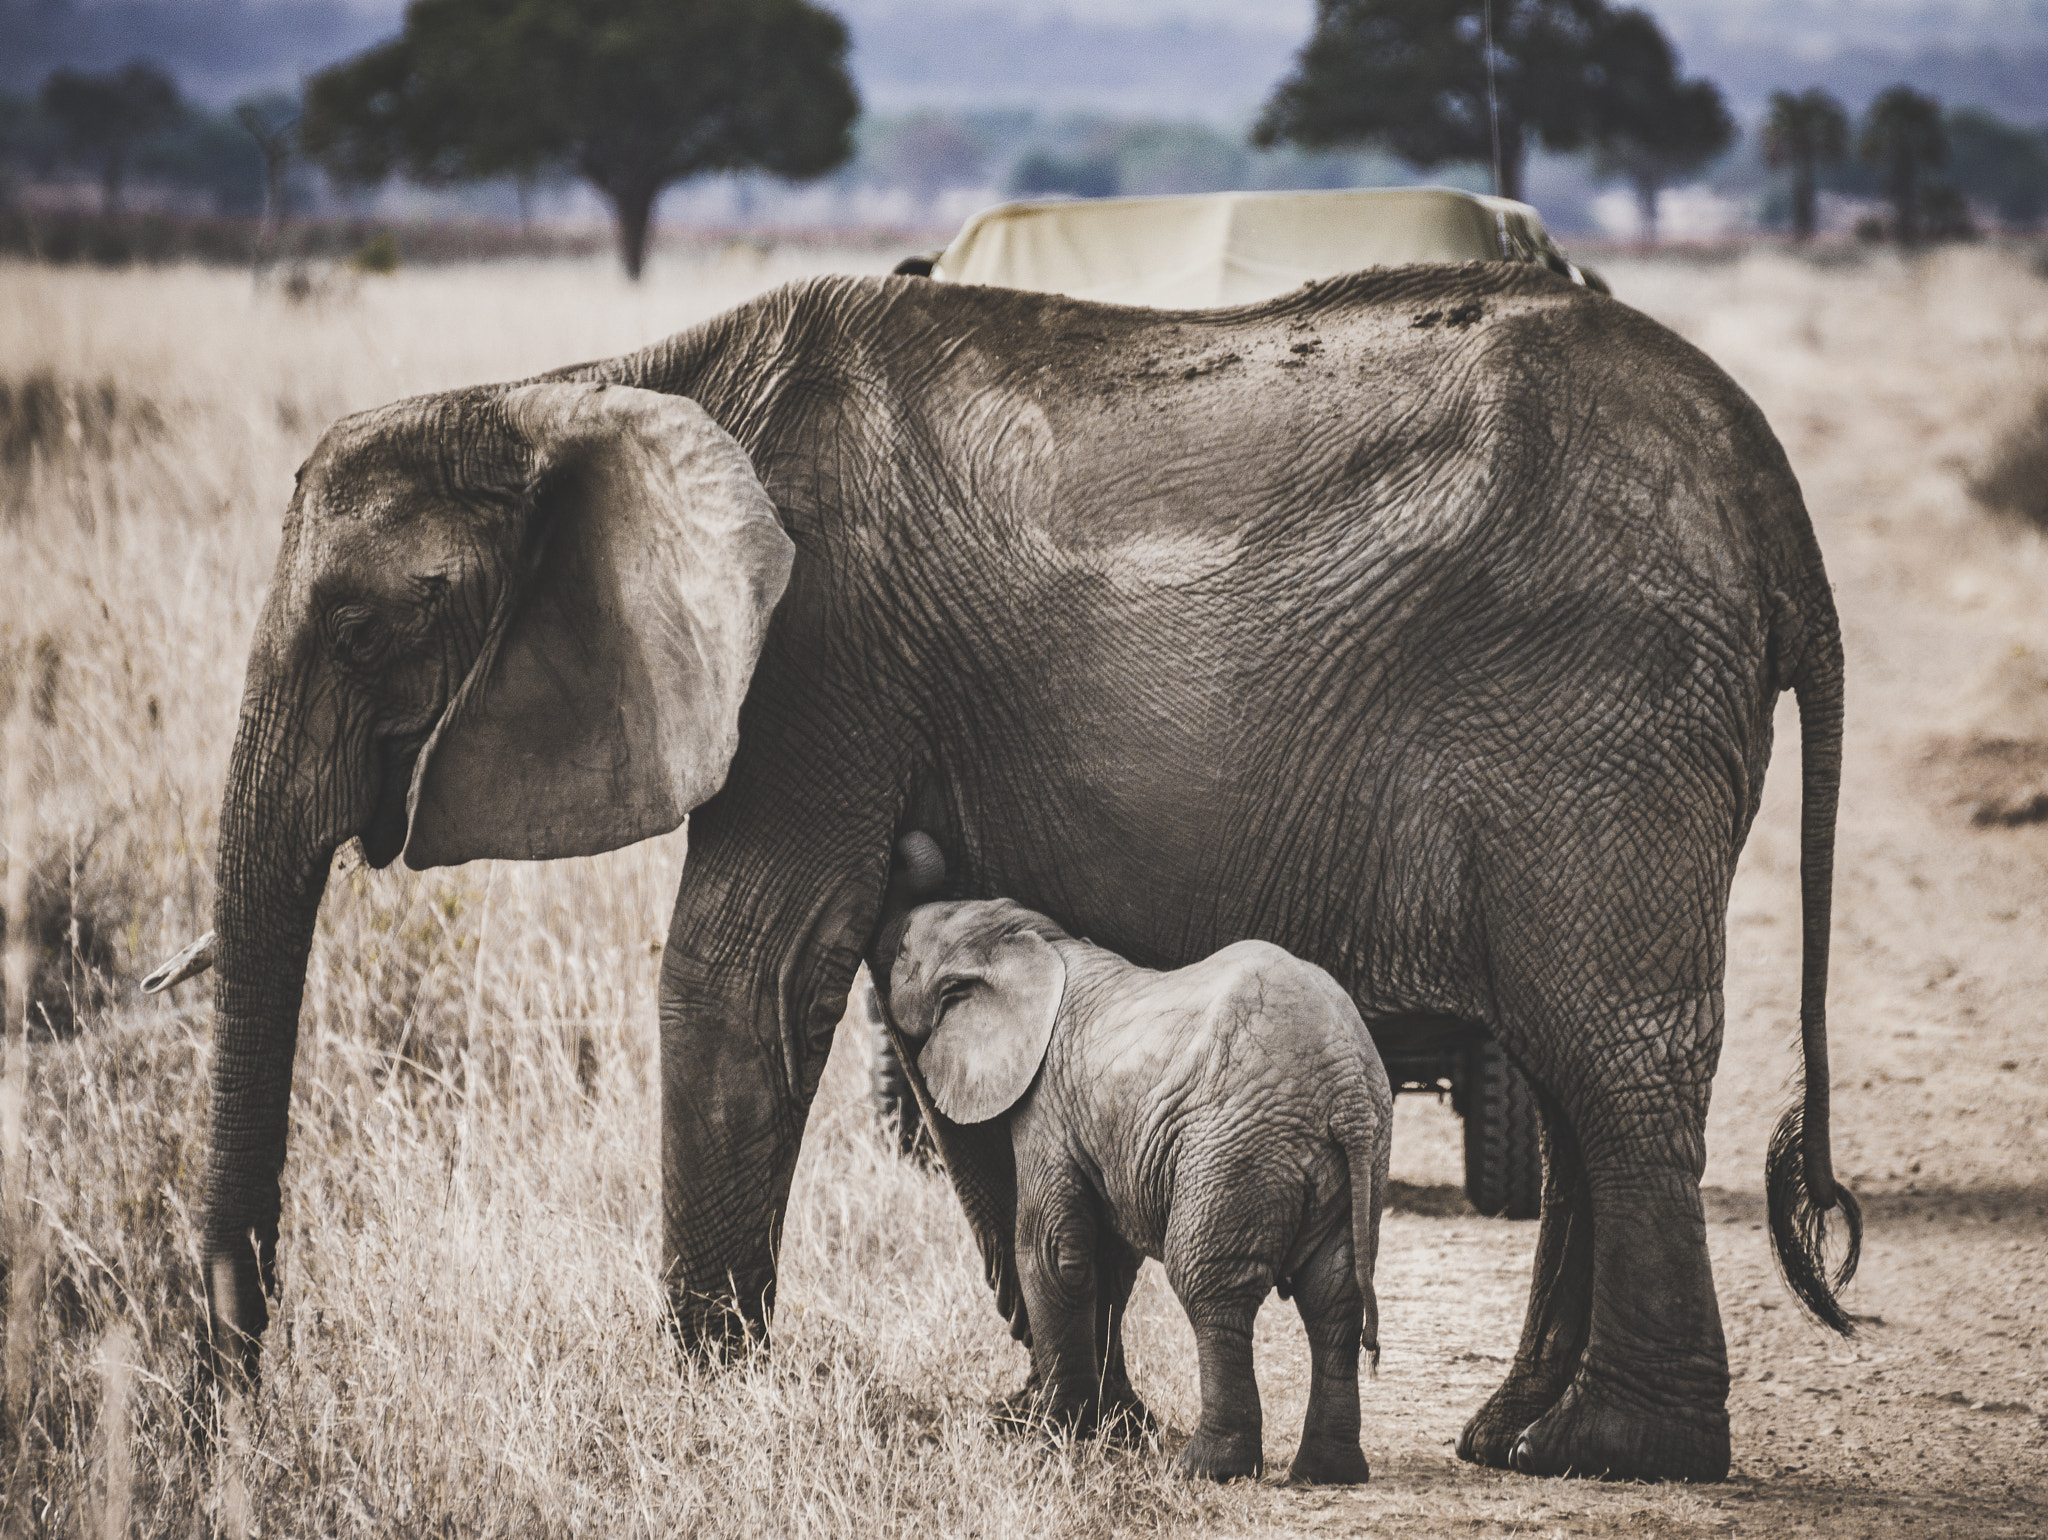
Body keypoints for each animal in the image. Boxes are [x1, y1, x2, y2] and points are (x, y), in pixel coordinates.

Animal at [884, 896, 1392, 1482]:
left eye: (903, 950)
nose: (889, 926)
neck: (1036, 939)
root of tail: (1347, 1088)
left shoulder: (1046, 1105)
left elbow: (1053, 1252)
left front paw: (1052, 1437)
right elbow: (1106, 1260)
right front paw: (1098, 1430)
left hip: (1234, 1149)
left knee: (1209, 1287)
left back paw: (1206, 1468)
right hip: (1358, 1161)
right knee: (1333, 1296)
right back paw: (1327, 1472)